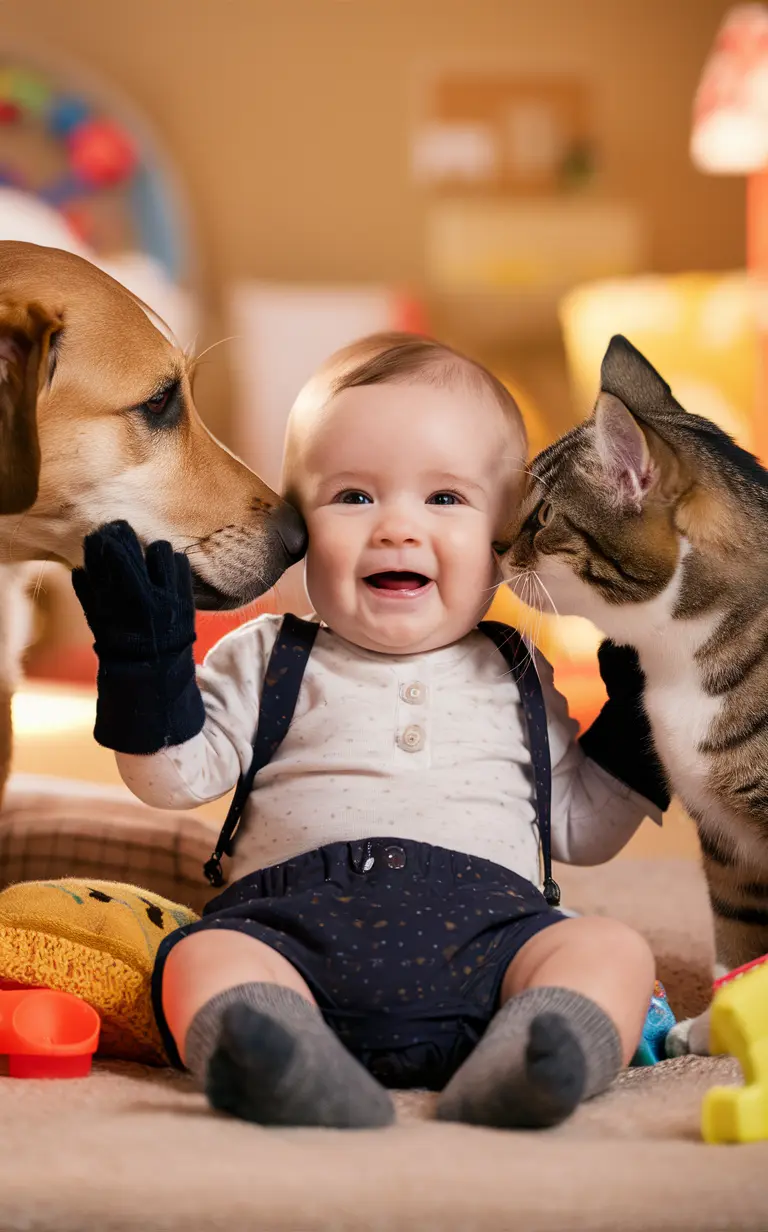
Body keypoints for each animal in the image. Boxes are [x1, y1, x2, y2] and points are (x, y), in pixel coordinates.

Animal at [498, 335, 768, 1049]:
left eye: (542, 516)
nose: (496, 545)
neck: (676, 667)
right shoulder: (726, 844)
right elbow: (737, 939)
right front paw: (720, 1026)